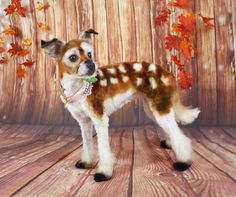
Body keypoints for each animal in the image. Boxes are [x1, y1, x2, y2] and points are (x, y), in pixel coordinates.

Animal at [41, 28, 200, 182]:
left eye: (89, 54)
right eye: (73, 57)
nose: (91, 64)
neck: (80, 86)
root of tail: (166, 72)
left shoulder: (100, 120)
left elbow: (103, 148)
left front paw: (104, 172)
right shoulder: (84, 122)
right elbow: (87, 144)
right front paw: (87, 162)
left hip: (159, 107)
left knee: (180, 136)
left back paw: (184, 161)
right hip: (153, 108)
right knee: (172, 129)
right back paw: (170, 143)